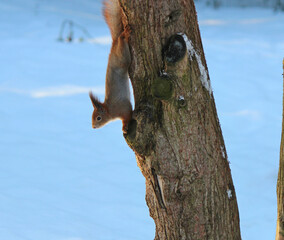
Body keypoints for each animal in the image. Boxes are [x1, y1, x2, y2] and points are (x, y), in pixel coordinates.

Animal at [89, 0, 132, 133]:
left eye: (98, 118)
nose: (93, 127)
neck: (110, 110)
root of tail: (114, 44)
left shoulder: (123, 108)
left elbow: (128, 115)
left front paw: (124, 127)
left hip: (122, 57)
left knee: (121, 39)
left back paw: (125, 33)